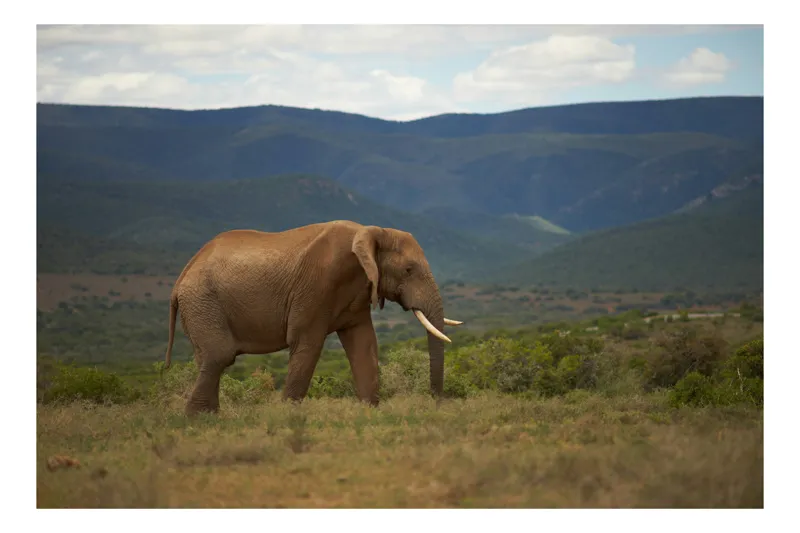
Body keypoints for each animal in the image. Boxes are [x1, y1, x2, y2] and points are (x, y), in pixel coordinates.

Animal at [163, 220, 463, 416]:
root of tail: (181, 279)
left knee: (209, 358)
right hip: (203, 301)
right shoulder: (317, 285)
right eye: (409, 270)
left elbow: (364, 343)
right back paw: (197, 419)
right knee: (220, 355)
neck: (371, 231)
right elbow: (307, 342)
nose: (437, 404)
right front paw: (289, 416)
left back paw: (210, 417)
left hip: (200, 306)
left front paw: (370, 413)